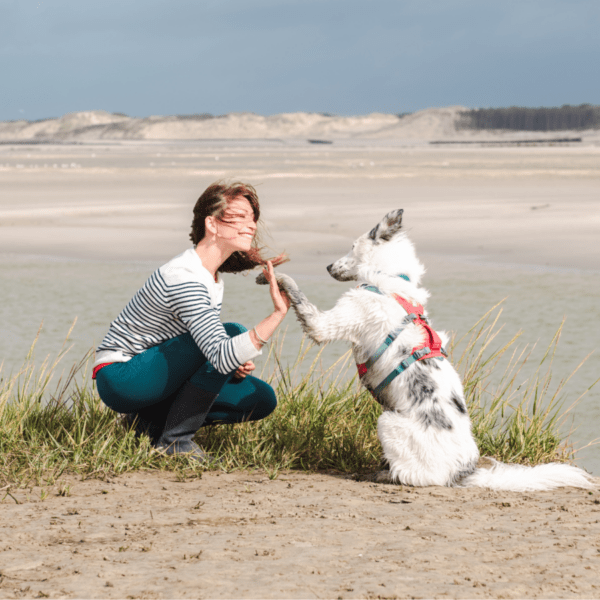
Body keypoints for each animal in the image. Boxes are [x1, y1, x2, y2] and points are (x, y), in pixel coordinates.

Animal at [258, 209, 596, 490]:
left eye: (352, 246)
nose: (328, 266)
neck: (389, 282)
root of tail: (463, 471)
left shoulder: (326, 324)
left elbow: (298, 295)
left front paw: (274, 277)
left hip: (387, 421)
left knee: (414, 475)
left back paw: (383, 475)